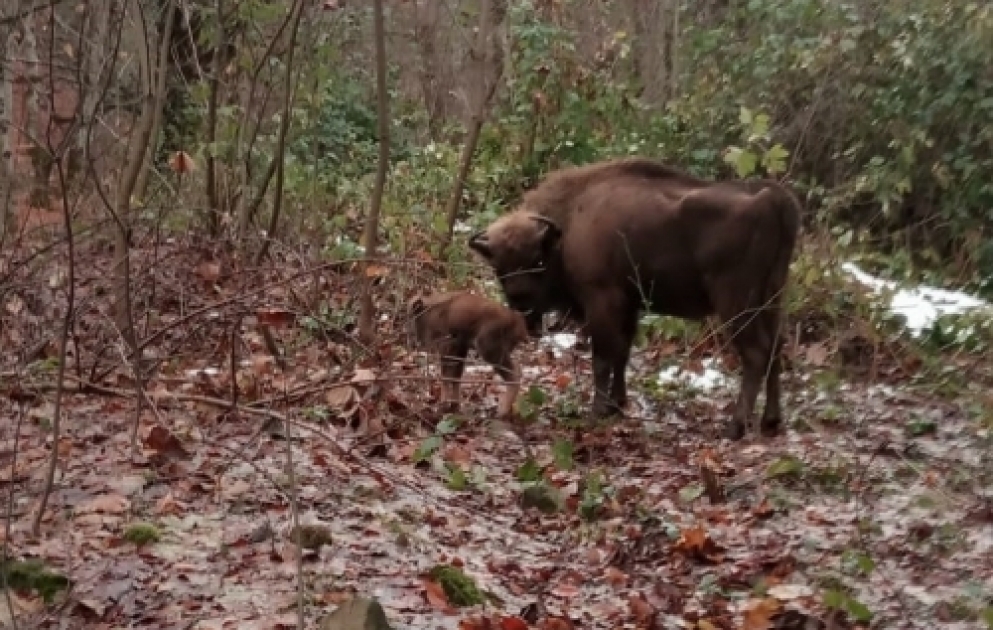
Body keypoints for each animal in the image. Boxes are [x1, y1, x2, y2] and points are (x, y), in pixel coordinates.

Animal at [467, 157, 801, 439]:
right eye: (499, 268)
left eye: (537, 260)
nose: (520, 301)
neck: (570, 224)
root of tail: (774, 198)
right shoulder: (628, 306)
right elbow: (622, 354)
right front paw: (617, 405)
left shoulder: (602, 301)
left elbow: (603, 357)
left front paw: (597, 412)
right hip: (773, 296)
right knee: (777, 347)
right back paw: (771, 422)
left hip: (737, 303)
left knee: (756, 353)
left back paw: (735, 427)